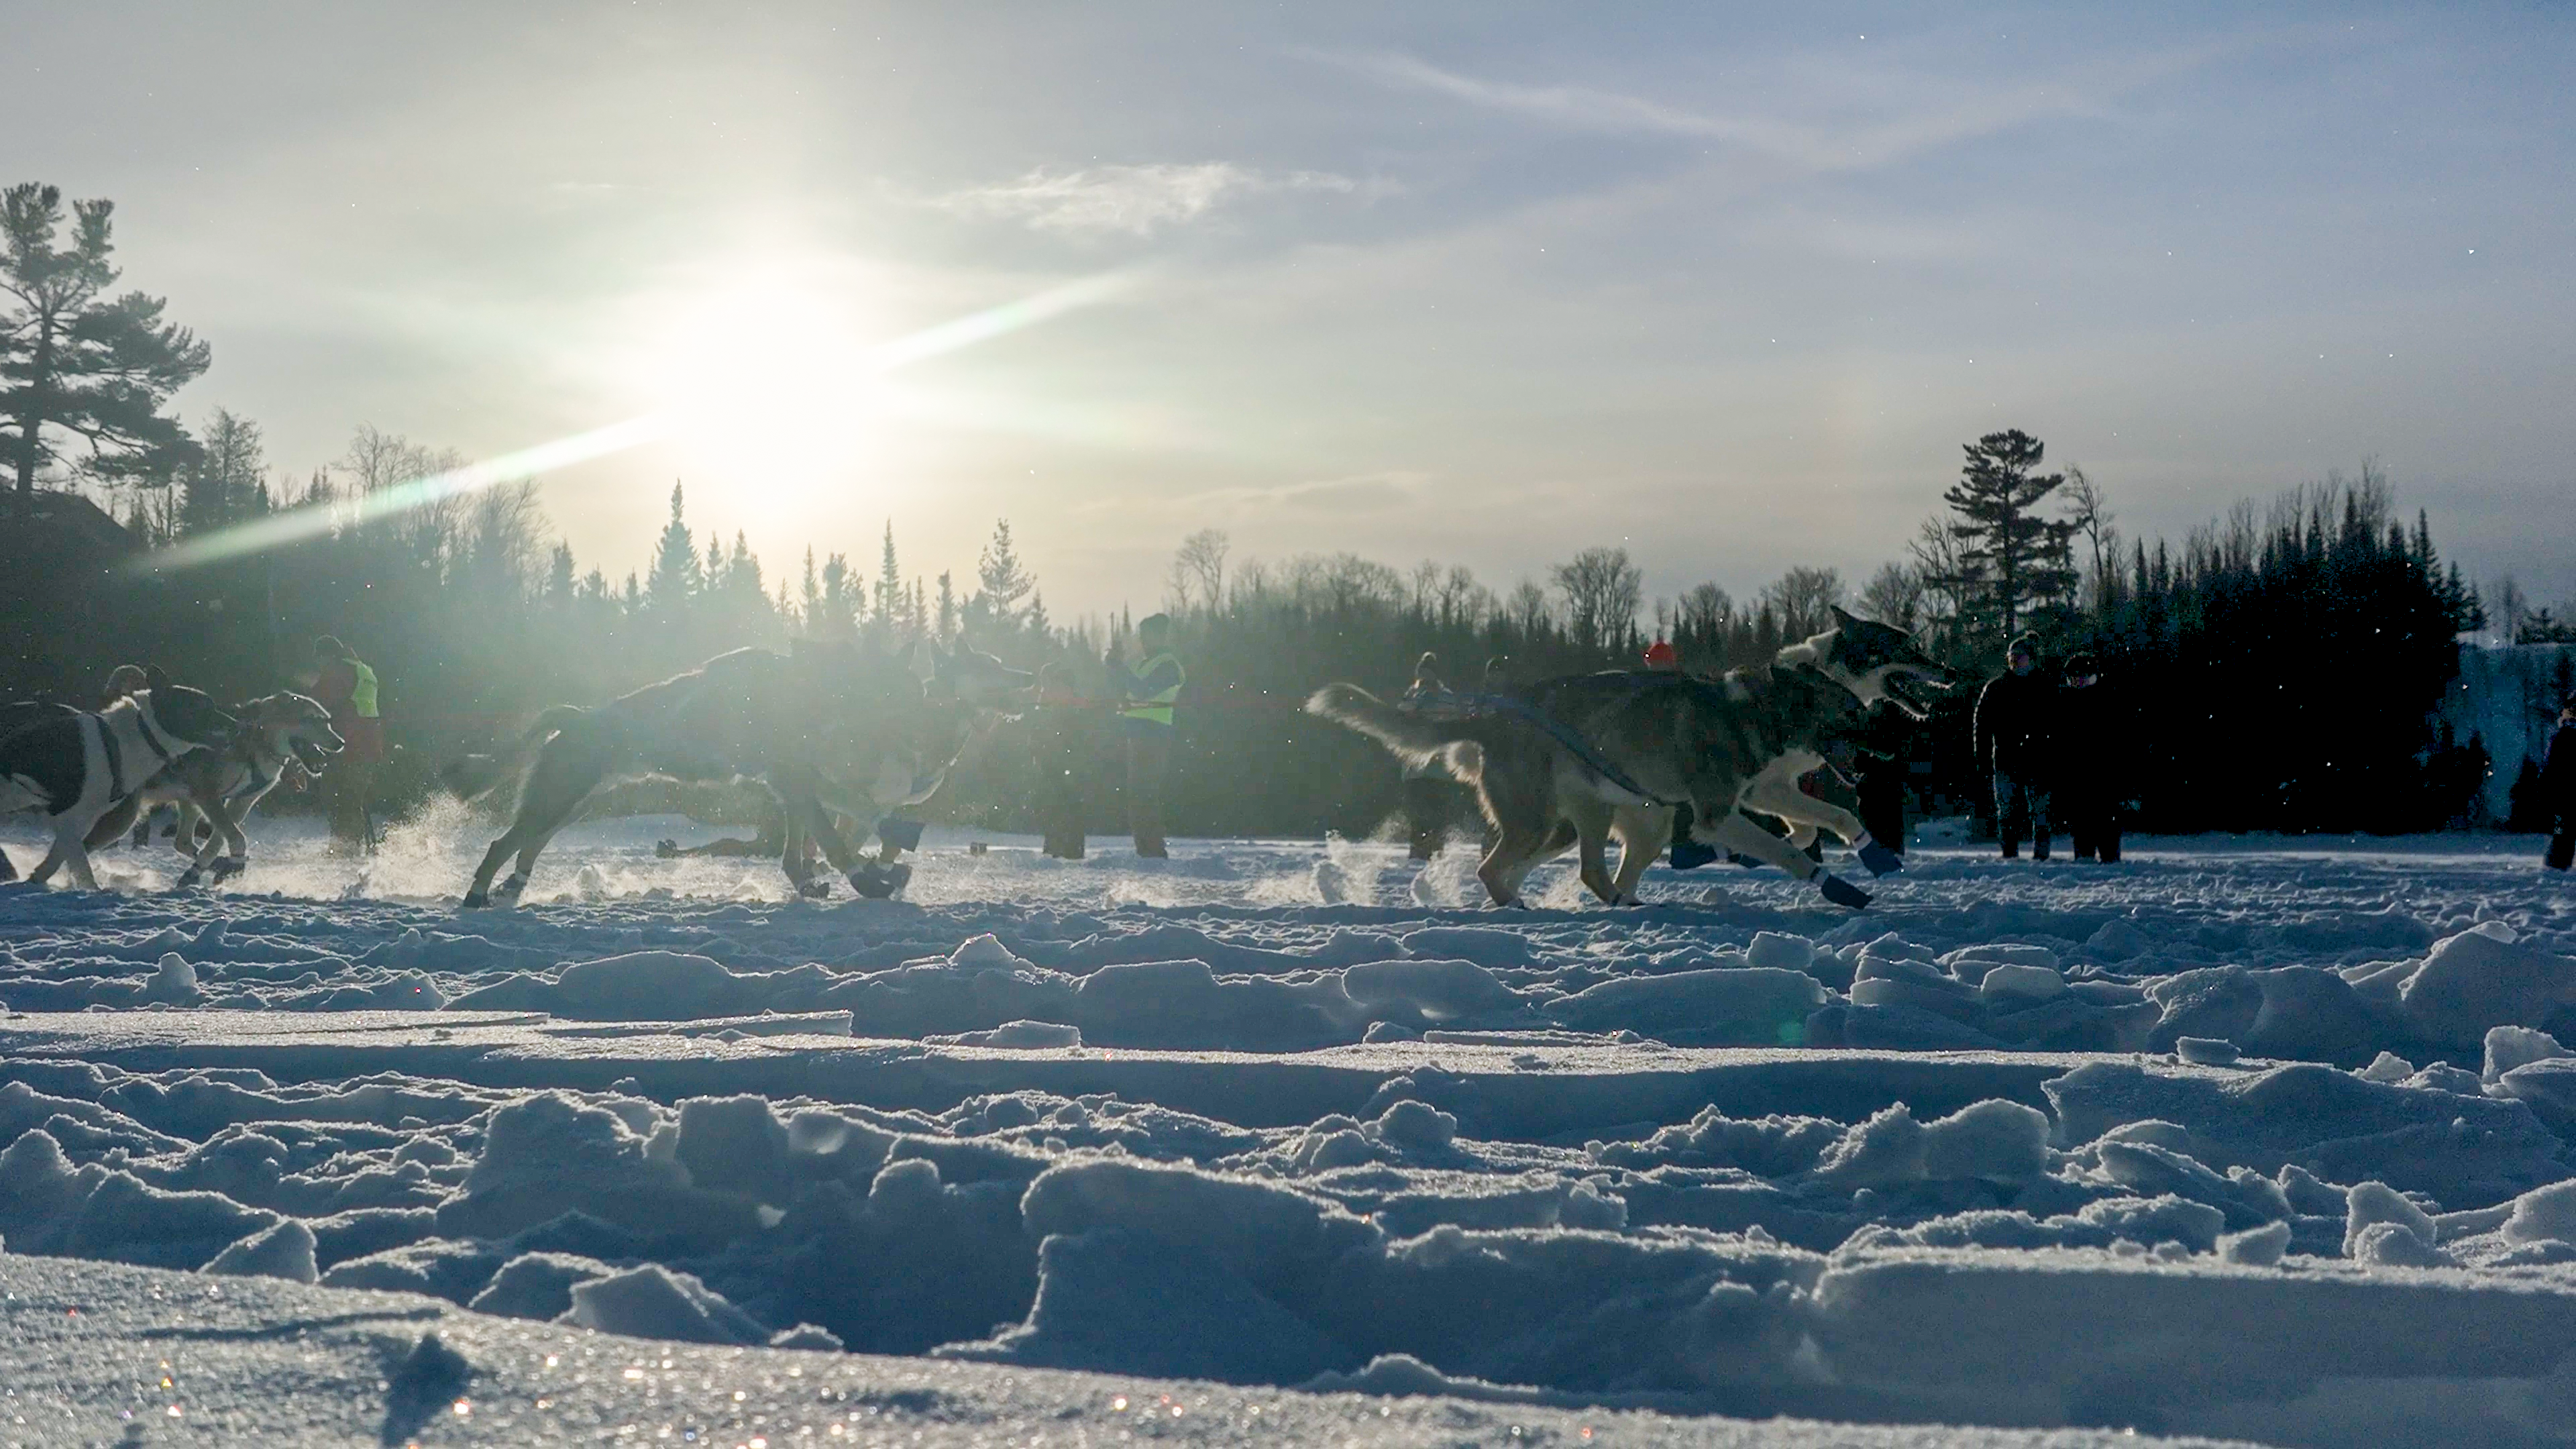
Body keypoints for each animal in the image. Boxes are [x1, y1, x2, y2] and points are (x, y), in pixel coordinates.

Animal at [0, 670, 237, 887]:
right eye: (204, 708)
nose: (236, 724)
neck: (140, 734)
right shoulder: (70, 819)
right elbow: (83, 872)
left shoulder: (79, 822)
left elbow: (56, 860)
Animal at [88, 686, 345, 881]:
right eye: (312, 719)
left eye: (328, 721)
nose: (341, 742)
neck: (255, 742)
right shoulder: (207, 796)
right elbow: (236, 837)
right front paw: (233, 864)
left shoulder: (238, 802)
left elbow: (219, 839)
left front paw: (205, 869)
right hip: (122, 819)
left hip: (181, 805)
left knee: (182, 842)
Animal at [1319, 606, 1937, 902]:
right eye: (1907, 646)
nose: (1949, 673)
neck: (1756, 711)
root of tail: (1499, 713)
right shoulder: (1729, 807)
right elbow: (1792, 846)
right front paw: (1837, 885)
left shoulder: (1764, 790)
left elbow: (1826, 819)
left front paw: (1870, 853)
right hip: (1548, 820)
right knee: (1497, 868)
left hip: (1575, 825)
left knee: (1580, 871)